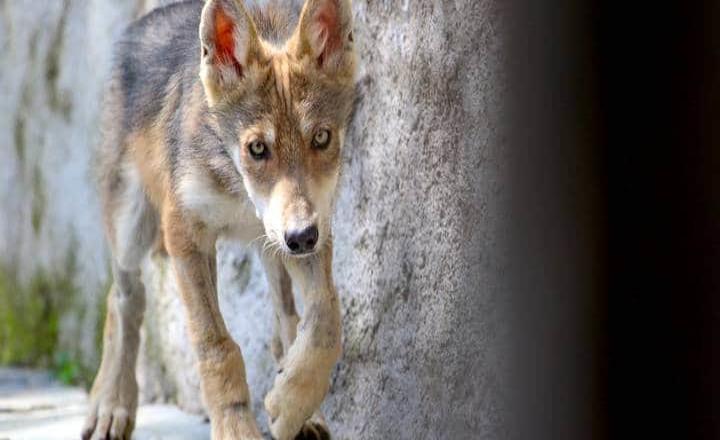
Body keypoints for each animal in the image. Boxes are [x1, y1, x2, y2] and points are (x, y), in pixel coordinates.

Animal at [81, 0, 354, 438]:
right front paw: (235, 427)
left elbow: (325, 322)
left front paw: (290, 405)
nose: (301, 237)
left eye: (322, 138)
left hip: (269, 249)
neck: (238, 190)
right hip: (130, 229)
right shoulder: (186, 235)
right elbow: (216, 346)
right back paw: (111, 406)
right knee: (123, 300)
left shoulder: (313, 226)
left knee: (286, 320)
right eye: (257, 148)